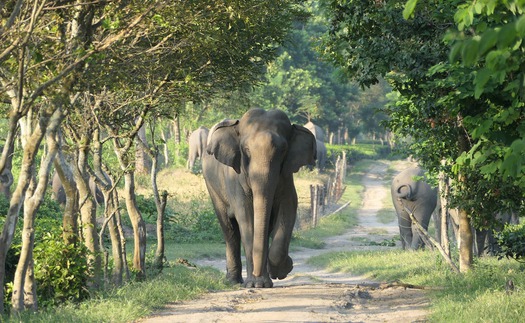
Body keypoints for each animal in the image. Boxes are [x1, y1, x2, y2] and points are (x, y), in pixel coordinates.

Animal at [202, 109, 316, 288]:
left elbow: (288, 207)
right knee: (229, 230)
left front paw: (281, 270)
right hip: (212, 187)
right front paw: (255, 285)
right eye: (246, 150)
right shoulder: (235, 178)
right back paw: (233, 281)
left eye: (283, 150)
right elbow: (247, 217)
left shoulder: (286, 176)